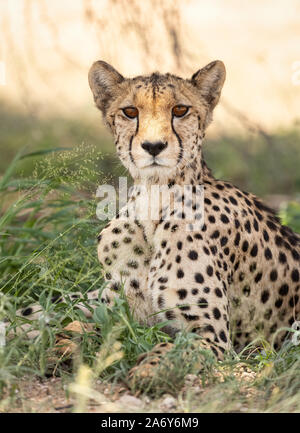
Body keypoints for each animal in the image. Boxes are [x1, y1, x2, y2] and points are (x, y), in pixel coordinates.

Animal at [17, 59, 300, 372]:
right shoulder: (117, 310)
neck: (154, 199)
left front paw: (144, 369)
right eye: (130, 112)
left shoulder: (213, 337)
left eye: (180, 110)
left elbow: (170, 349)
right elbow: (70, 317)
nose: (153, 146)